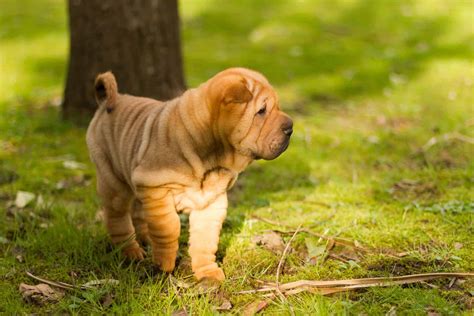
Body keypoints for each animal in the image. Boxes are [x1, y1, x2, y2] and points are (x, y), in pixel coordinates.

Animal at [85, 67, 292, 282]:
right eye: (261, 111)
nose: (290, 128)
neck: (211, 153)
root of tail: (109, 100)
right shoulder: (156, 189)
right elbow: (168, 228)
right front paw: (164, 267)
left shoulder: (211, 202)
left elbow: (206, 239)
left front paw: (207, 272)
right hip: (114, 182)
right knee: (117, 218)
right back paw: (131, 252)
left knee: (138, 213)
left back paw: (145, 240)